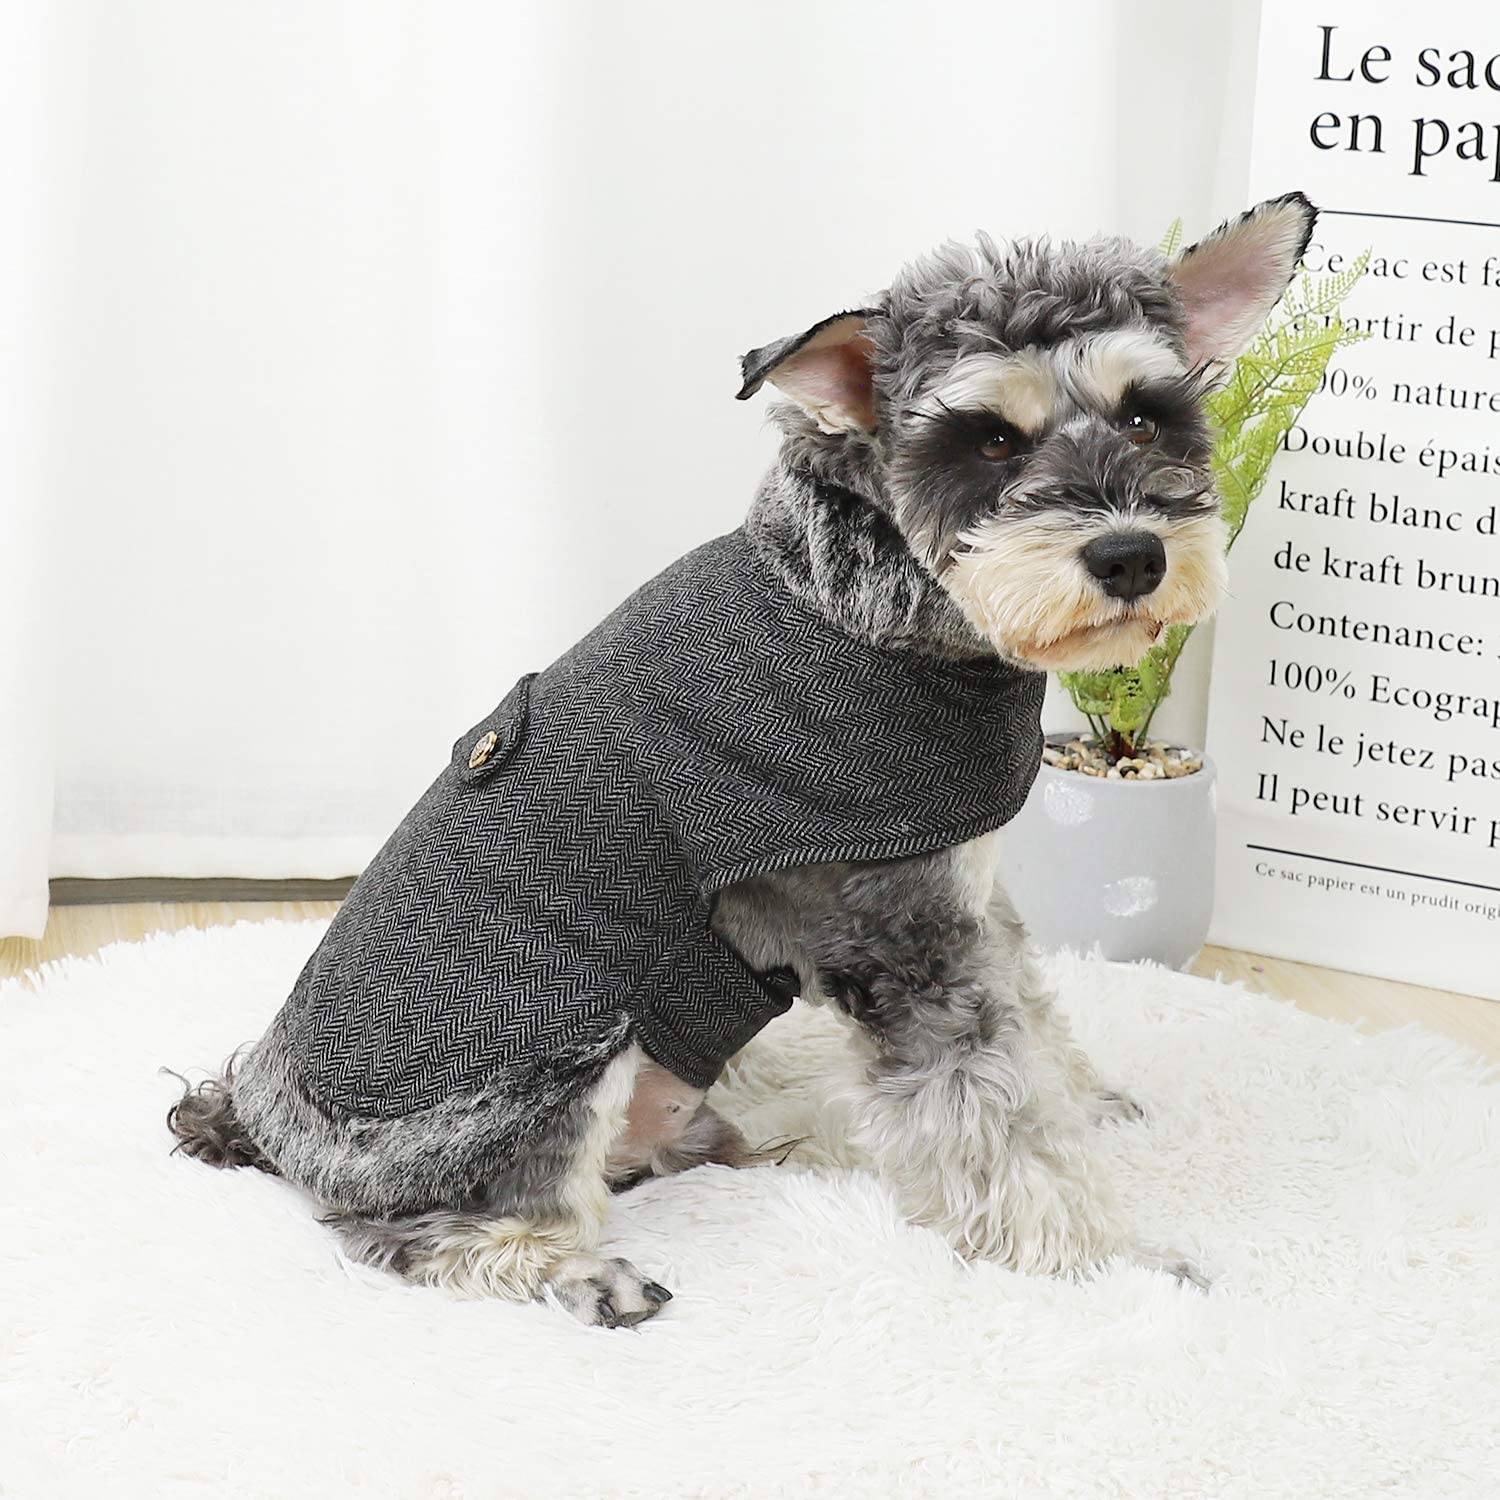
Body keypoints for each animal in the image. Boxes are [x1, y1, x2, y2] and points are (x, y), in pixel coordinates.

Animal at [169, 192, 1316, 1328]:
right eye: (990, 440)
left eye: (1144, 415)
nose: (1132, 556)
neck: (875, 612)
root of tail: (263, 1124)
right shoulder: (902, 939)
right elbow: (996, 1123)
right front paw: (1108, 1265)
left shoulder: (964, 895)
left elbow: (1030, 1024)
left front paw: (1087, 1103)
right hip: (560, 1058)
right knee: (426, 1231)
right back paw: (589, 1274)